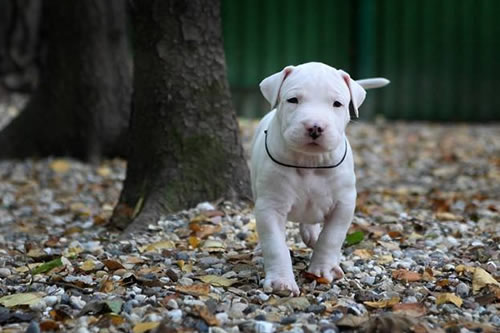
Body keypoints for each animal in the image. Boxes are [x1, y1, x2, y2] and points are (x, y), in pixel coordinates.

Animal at [252, 61, 388, 294]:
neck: (309, 162)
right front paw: (281, 282)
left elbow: (331, 238)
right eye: (293, 100)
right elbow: (275, 245)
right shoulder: (270, 206)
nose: (315, 127)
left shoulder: (344, 204)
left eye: (337, 104)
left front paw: (322, 270)